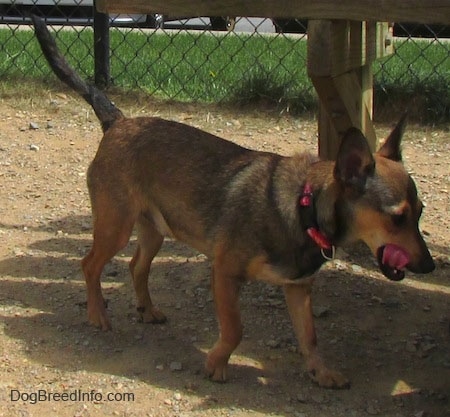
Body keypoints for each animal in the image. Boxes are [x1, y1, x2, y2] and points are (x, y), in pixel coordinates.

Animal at [31, 15, 432, 386]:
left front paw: (321, 372)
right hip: (115, 226)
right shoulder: (224, 273)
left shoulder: (298, 289)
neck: (304, 207)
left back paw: (147, 309)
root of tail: (118, 121)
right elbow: (236, 328)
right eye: (397, 217)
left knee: (136, 267)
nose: (429, 266)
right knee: (89, 265)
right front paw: (216, 365)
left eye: (420, 213)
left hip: (154, 230)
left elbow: (310, 338)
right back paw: (97, 314)